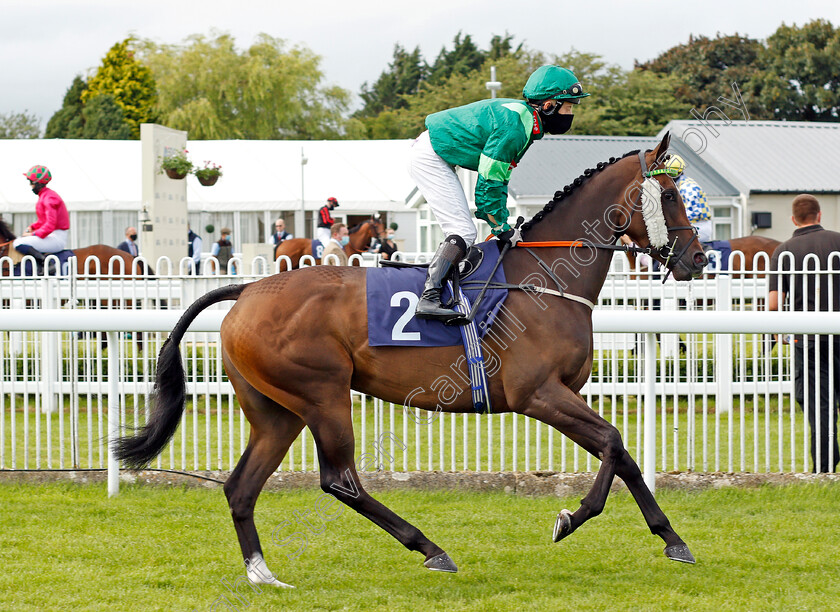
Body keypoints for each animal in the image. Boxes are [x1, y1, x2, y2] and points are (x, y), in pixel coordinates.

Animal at [115, 134, 704, 588]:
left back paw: (263, 574)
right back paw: (431, 548)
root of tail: (249, 289)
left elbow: (622, 454)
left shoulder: (563, 394)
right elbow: (612, 443)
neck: (543, 279)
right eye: (672, 193)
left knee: (241, 486)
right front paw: (571, 518)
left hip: (275, 411)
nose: (698, 259)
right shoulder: (538, 394)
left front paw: (673, 540)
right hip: (322, 395)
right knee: (340, 480)